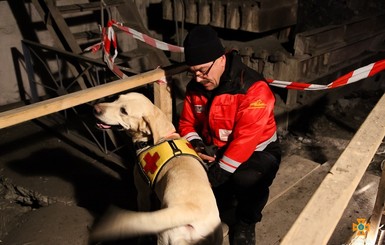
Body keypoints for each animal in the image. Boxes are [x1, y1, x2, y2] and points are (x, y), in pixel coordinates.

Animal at [91, 92, 220, 245]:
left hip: (164, 237)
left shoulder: (143, 193)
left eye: (124, 111)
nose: (95, 108)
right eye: (117, 98)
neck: (161, 137)